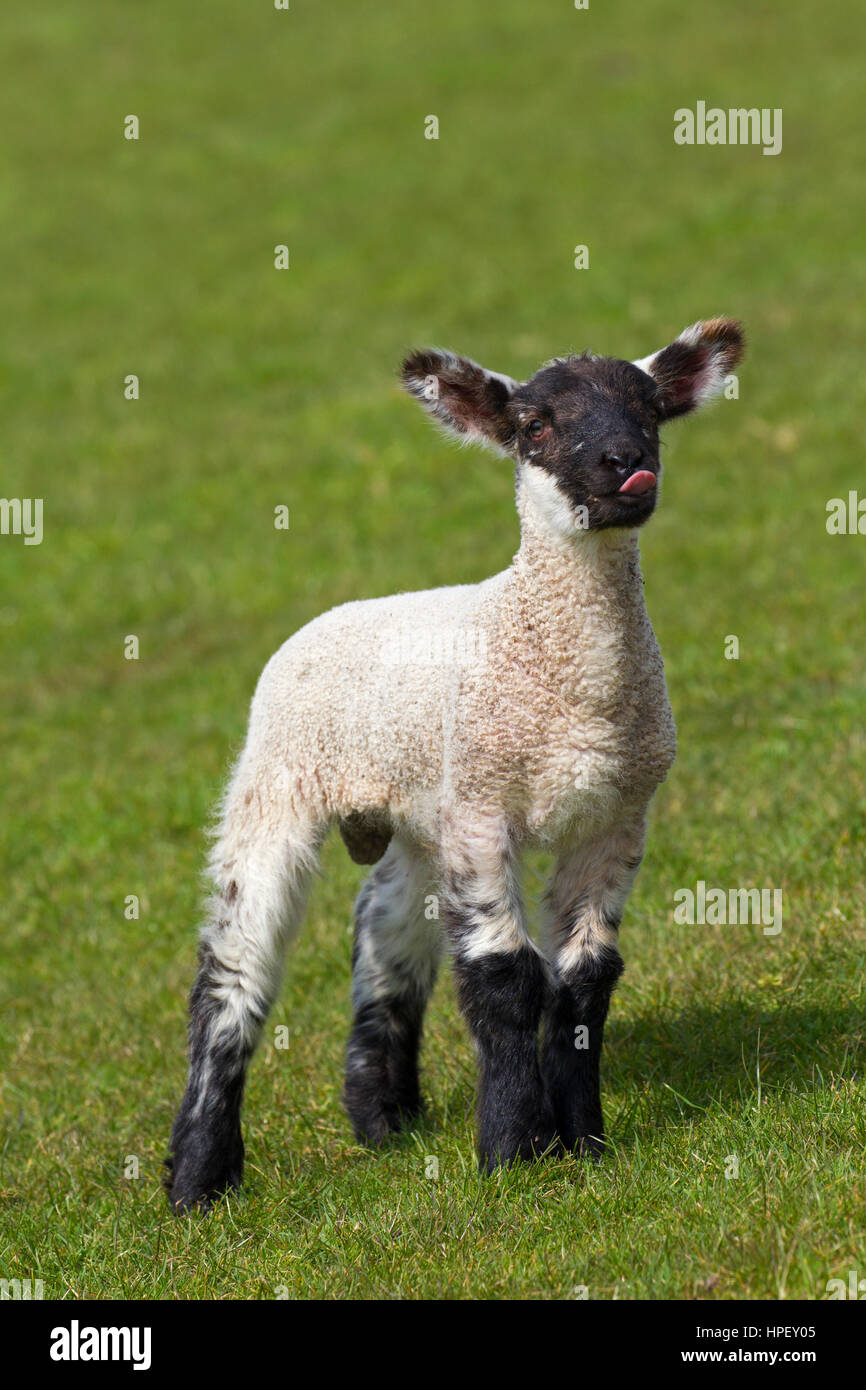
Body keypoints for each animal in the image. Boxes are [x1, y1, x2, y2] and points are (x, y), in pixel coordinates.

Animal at [167, 319, 745, 1212]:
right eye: (534, 425)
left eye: (651, 408)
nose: (624, 460)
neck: (573, 696)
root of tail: (333, 614)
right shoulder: (480, 804)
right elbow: (504, 978)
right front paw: (512, 1149)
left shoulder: (618, 816)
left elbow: (585, 982)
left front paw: (586, 1144)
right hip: (276, 777)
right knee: (233, 965)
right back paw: (199, 1178)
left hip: (415, 810)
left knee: (384, 928)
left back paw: (382, 1115)